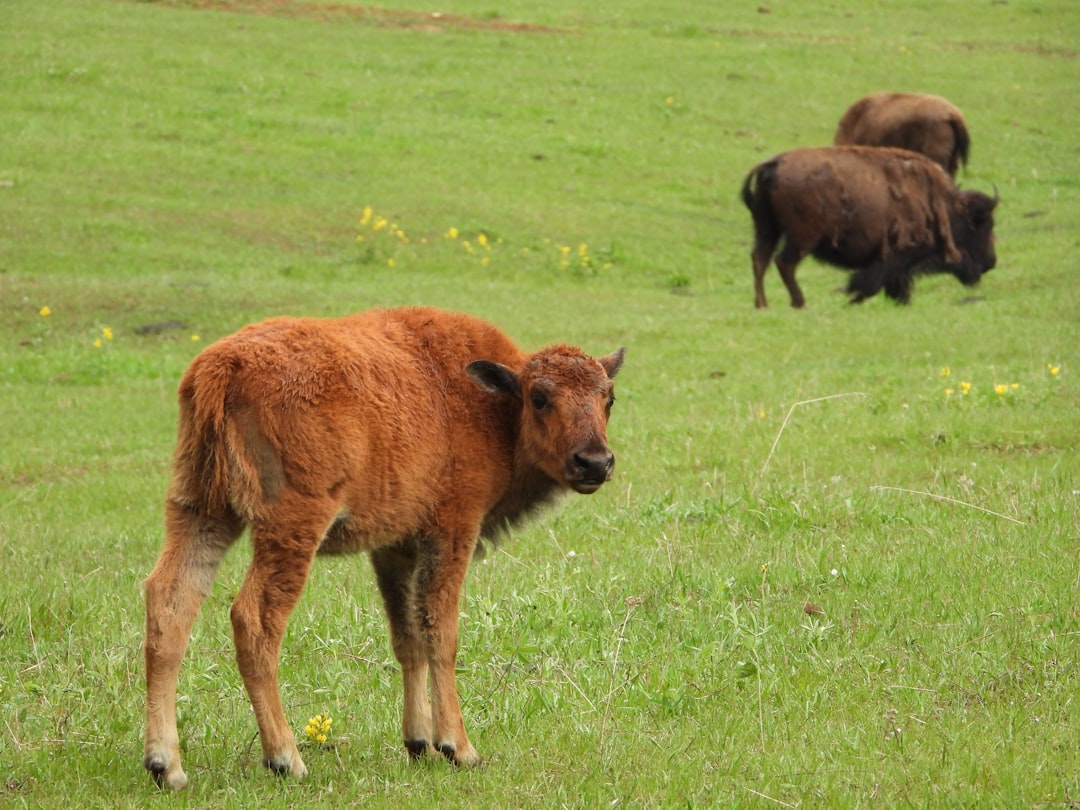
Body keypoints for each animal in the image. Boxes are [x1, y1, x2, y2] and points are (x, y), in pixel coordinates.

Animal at [141, 306, 626, 790]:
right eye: (540, 397)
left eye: (609, 398)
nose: (595, 462)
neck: (492, 403)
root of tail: (221, 368)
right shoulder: (453, 530)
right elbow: (441, 633)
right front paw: (458, 747)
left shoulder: (395, 549)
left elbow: (407, 637)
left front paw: (418, 742)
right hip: (290, 526)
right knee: (255, 620)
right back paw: (285, 757)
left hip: (200, 509)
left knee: (170, 602)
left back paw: (167, 766)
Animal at [738, 144, 997, 308]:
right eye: (983, 224)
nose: (990, 262)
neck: (944, 205)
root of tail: (773, 164)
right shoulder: (892, 259)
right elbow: (870, 284)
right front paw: (851, 301)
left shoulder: (896, 267)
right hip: (801, 237)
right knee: (784, 263)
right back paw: (799, 302)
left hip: (766, 228)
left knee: (760, 259)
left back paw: (762, 304)